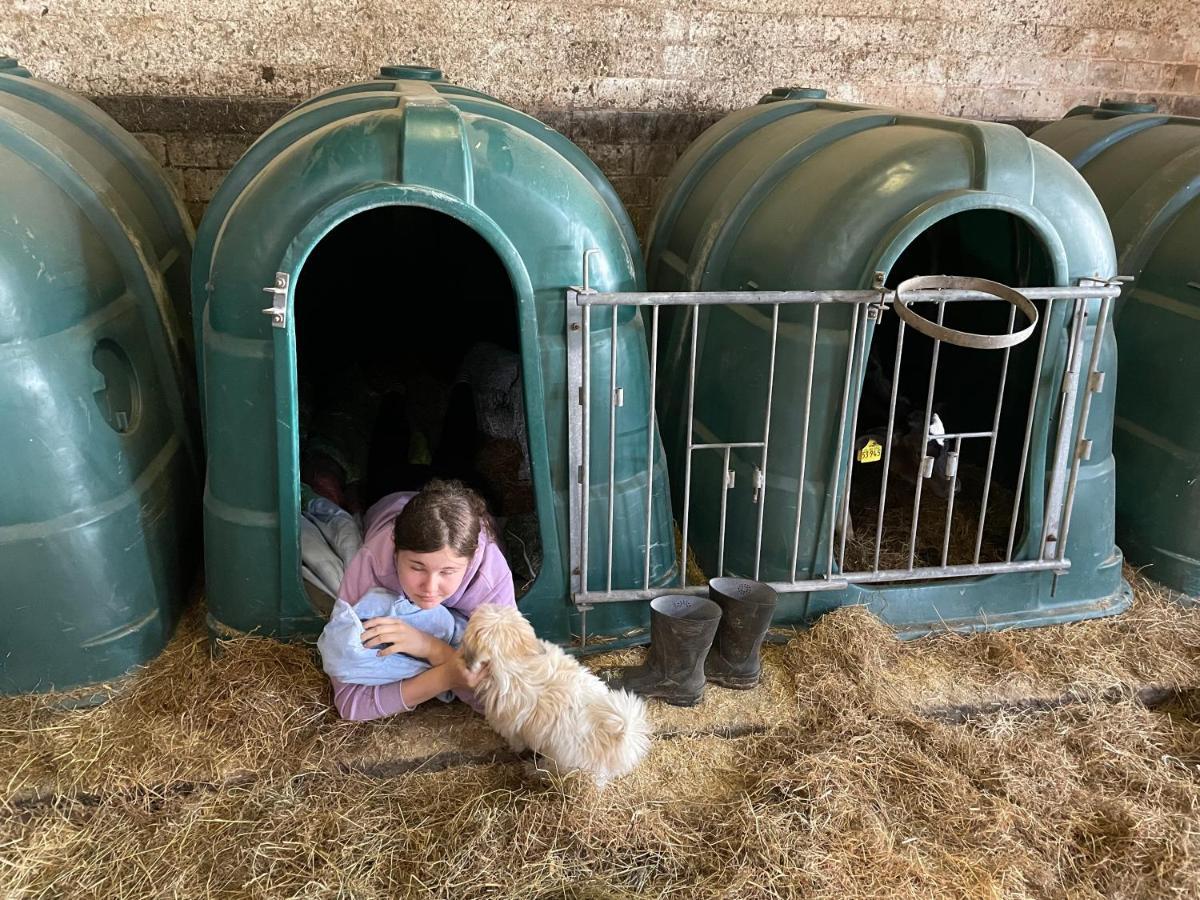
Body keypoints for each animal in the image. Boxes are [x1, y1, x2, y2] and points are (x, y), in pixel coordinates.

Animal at [460, 607, 652, 787]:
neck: (517, 655)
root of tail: (613, 740)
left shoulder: (508, 724)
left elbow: (515, 740)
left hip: (560, 760)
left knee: (550, 770)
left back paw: (533, 769)